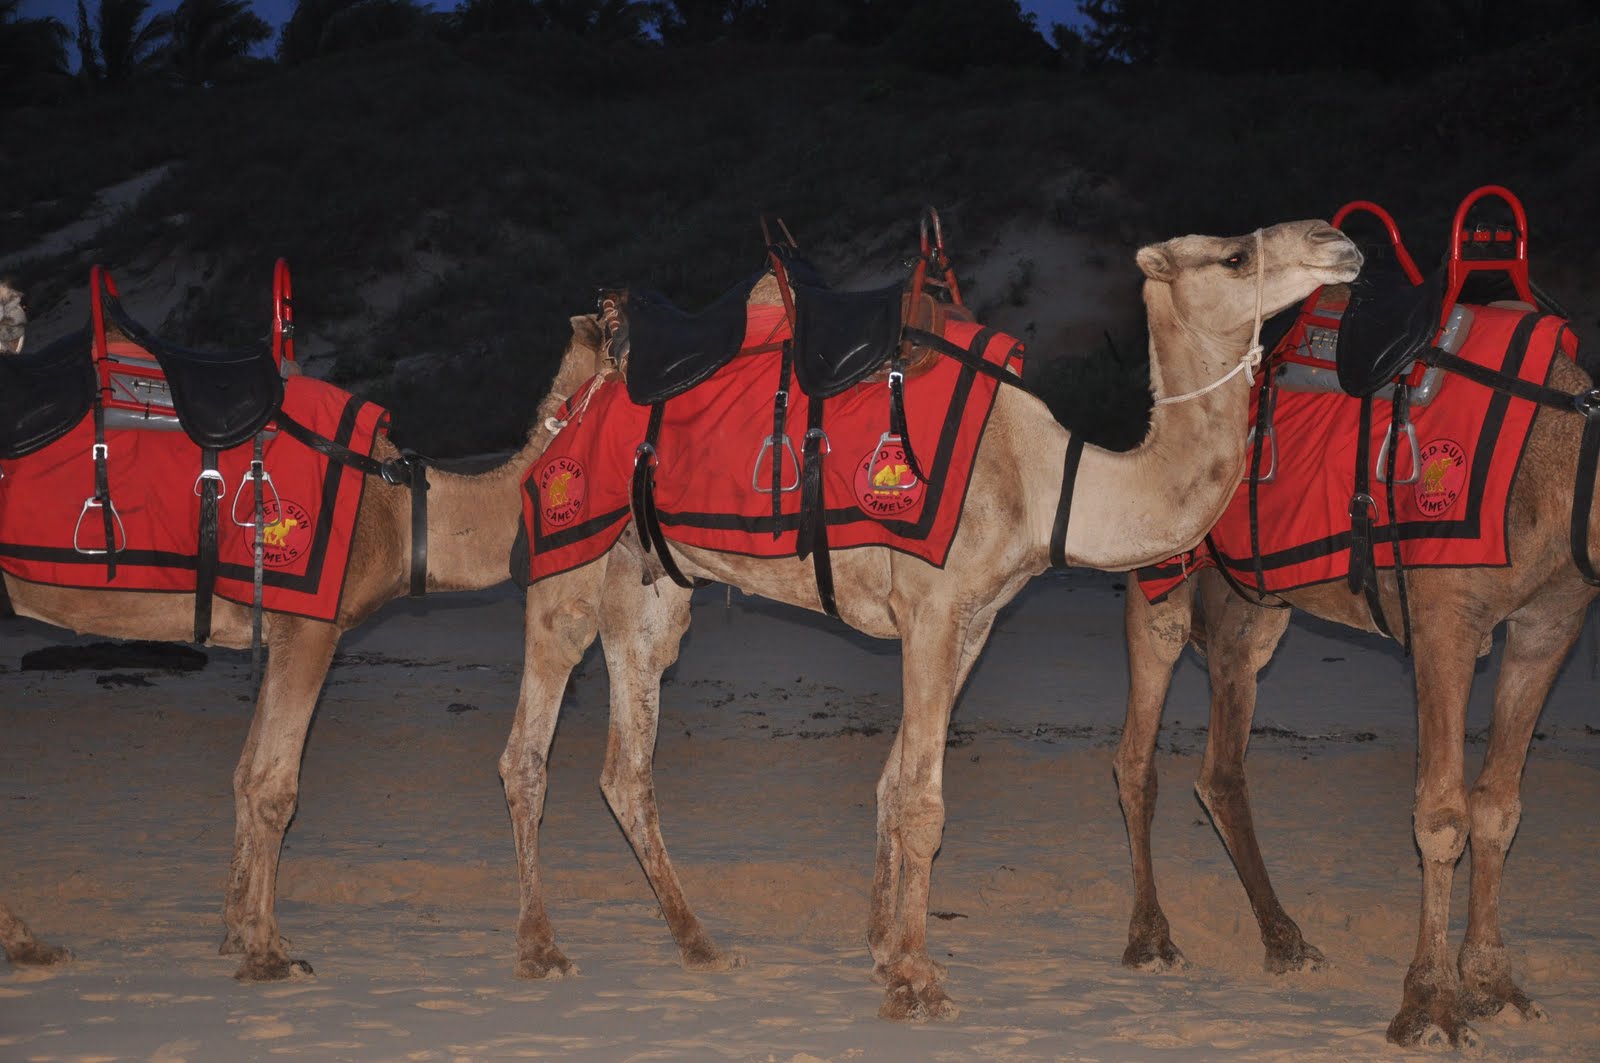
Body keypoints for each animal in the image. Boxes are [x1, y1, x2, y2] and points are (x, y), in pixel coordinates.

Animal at [1, 299, 600, 980]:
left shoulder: (284, 629)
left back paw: (29, 942)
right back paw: (28, 943)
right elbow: (274, 787)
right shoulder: (314, 626)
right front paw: (269, 955)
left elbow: (245, 775)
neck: (401, 514)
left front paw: (242, 933)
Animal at [496, 220, 1362, 1021]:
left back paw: (698, 942)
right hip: (570, 551)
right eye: (1234, 257)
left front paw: (886, 949)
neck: (1041, 479)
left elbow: (894, 782)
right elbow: (922, 799)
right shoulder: (933, 607)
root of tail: (573, 394)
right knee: (527, 751)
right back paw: (539, 948)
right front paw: (917, 981)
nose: (1338, 241)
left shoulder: (974, 619)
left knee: (626, 766)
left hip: (648, 585)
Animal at [1114, 309, 1597, 1046]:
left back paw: (1285, 941)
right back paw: (1151, 940)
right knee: (1137, 754)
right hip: (1163, 572)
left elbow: (1497, 808)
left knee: (1222, 765)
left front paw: (1495, 987)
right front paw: (1430, 1008)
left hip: (1251, 604)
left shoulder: (1550, 624)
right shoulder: (1444, 618)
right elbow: (1443, 815)